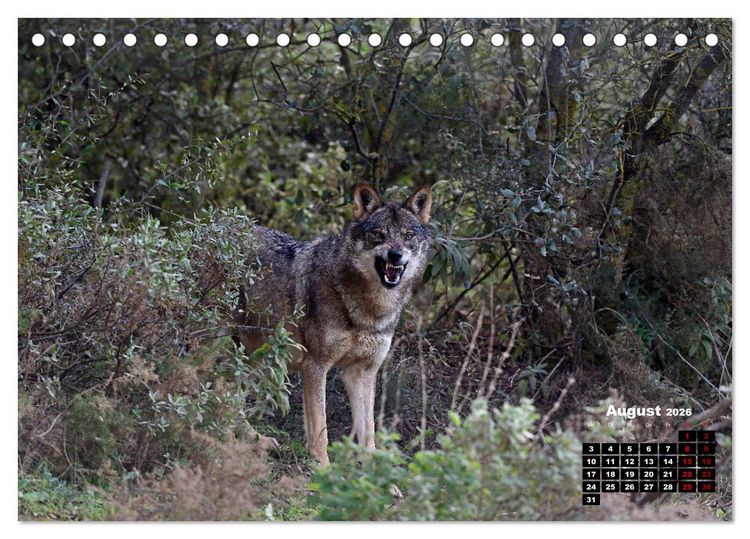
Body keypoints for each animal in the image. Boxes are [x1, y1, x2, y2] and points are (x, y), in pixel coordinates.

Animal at [236, 182, 432, 465]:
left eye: (408, 235)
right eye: (378, 234)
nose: (395, 255)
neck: (368, 312)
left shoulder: (362, 372)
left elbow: (368, 432)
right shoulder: (315, 365)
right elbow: (321, 429)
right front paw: (322, 467)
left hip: (255, 359)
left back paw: (257, 441)